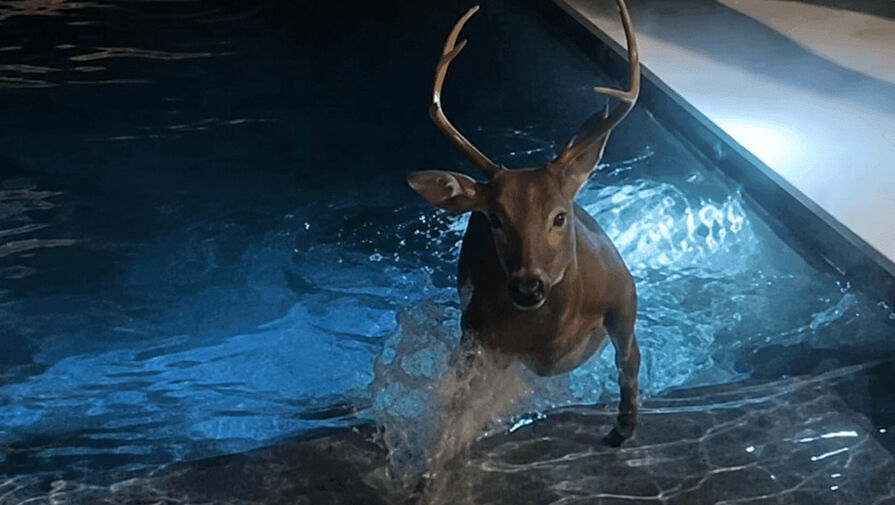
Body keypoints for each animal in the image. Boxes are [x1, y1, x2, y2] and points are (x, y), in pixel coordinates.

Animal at [407, 0, 641, 463]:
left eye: (559, 216)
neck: (555, 336)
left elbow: (628, 363)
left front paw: (623, 428)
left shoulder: (625, 296)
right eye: (495, 218)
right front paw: (431, 463)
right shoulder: (477, 334)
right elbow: (456, 405)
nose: (528, 286)